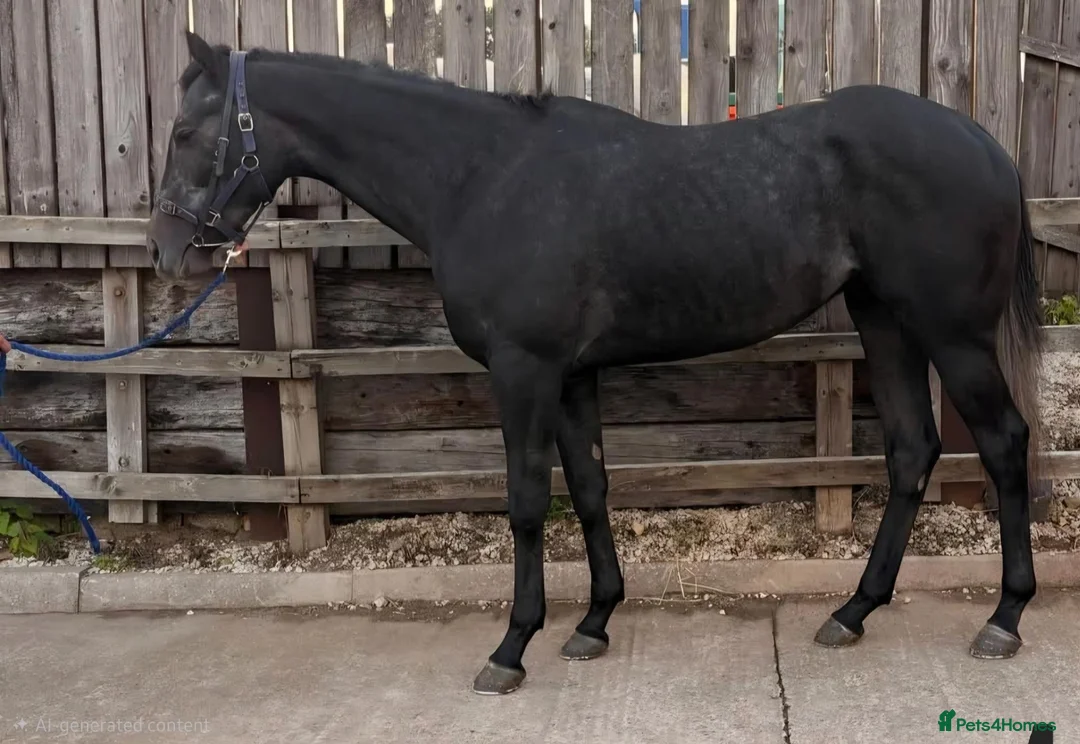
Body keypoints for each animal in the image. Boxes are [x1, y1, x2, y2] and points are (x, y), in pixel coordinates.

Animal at [148, 31, 1045, 695]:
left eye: (187, 133)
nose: (167, 254)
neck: (481, 177)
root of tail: (986, 144)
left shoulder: (524, 371)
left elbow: (524, 502)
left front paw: (511, 647)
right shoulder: (572, 375)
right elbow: (587, 488)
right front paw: (593, 623)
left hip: (952, 335)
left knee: (1003, 443)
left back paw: (1004, 618)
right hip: (884, 321)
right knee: (910, 450)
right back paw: (855, 610)